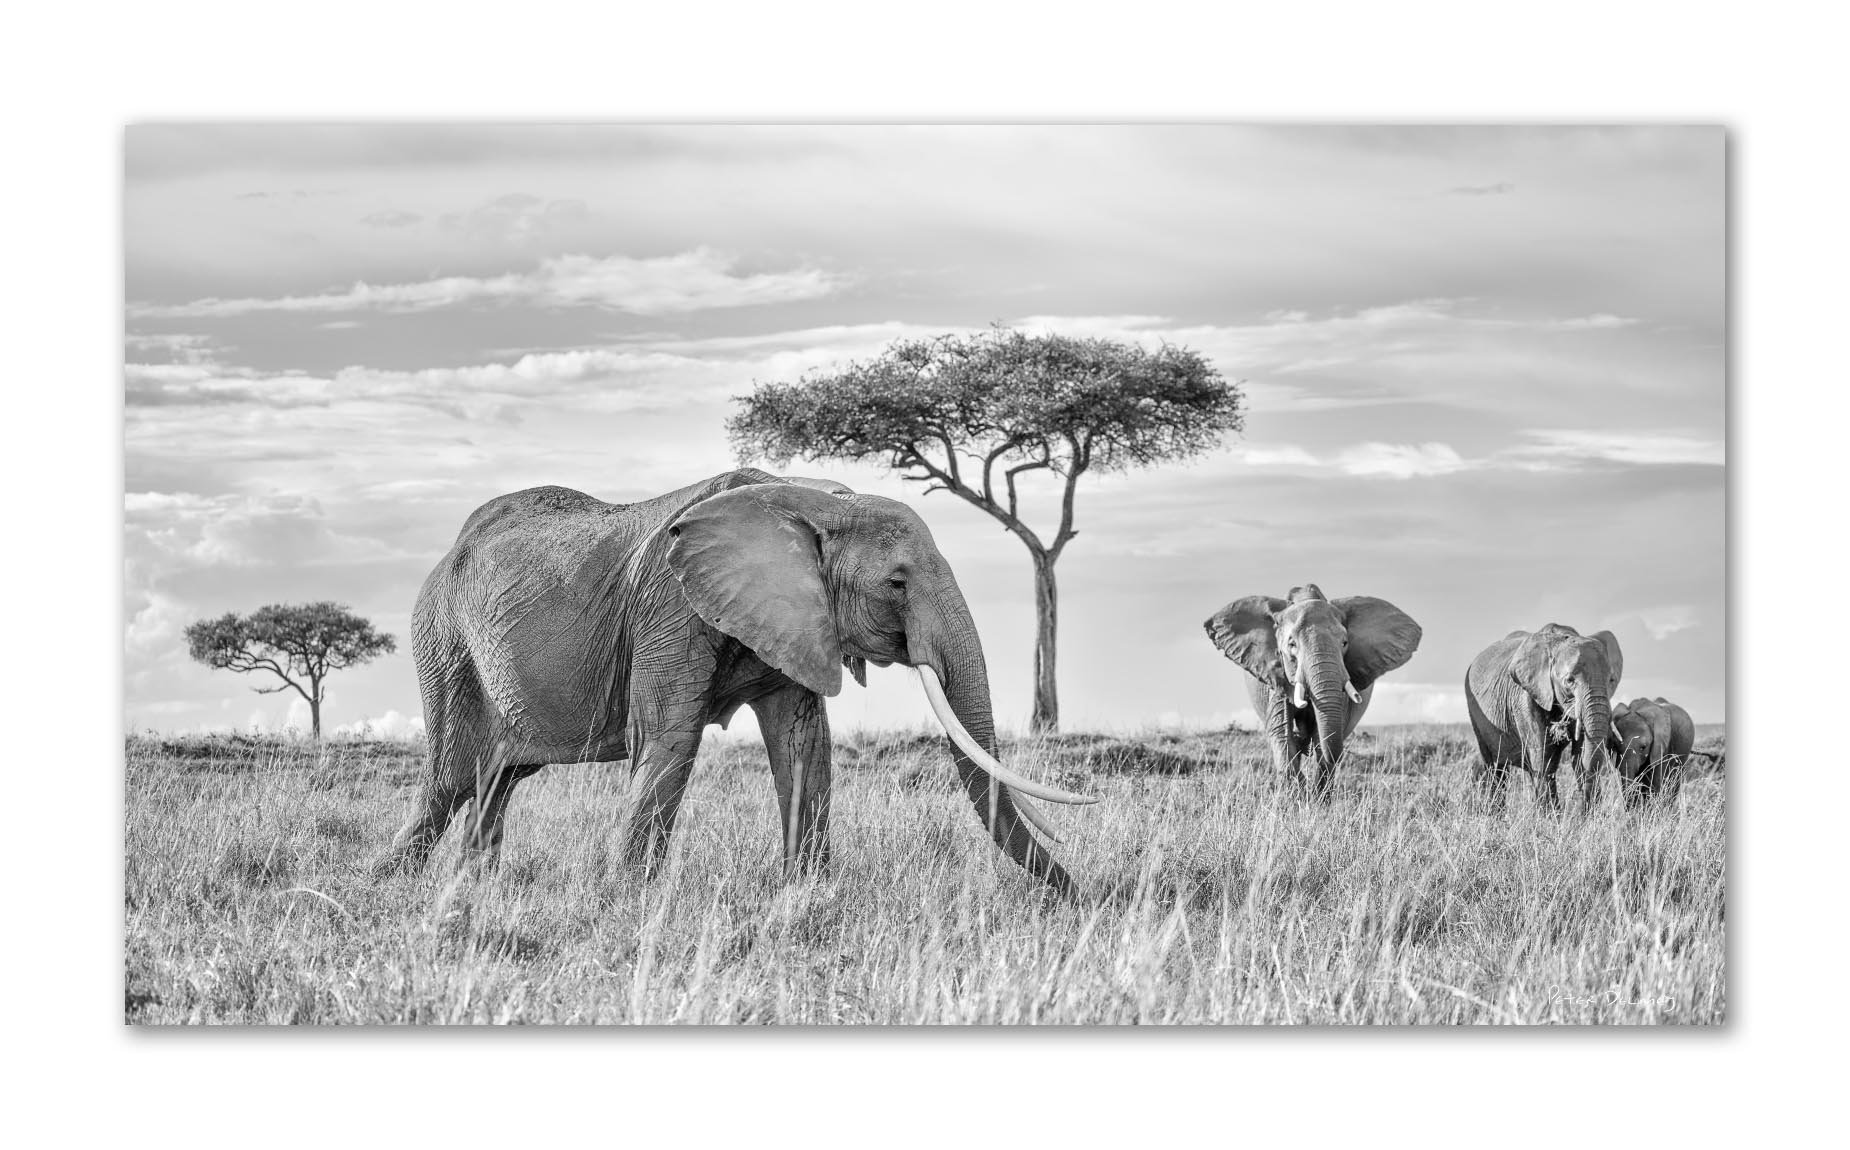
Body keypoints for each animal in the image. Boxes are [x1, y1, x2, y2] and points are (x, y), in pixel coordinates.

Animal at [374, 468, 1096, 893]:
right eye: (897, 583)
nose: (1083, 895)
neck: (811, 499)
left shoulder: (797, 618)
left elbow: (804, 745)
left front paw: (807, 894)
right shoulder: (670, 606)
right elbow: (669, 738)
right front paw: (627, 899)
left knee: (495, 781)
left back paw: (470, 887)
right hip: (443, 642)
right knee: (449, 780)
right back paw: (386, 884)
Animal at [1204, 584, 1423, 796]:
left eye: (1345, 643)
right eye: (1291, 644)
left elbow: (1322, 737)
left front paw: (1317, 801)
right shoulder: (1275, 675)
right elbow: (1282, 736)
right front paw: (1296, 800)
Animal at [1464, 624, 1623, 811]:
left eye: (1611, 680)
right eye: (1569, 680)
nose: (1578, 810)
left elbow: (1578, 757)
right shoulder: (1526, 698)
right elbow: (1543, 761)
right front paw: (1551, 817)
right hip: (1476, 713)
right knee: (1496, 767)